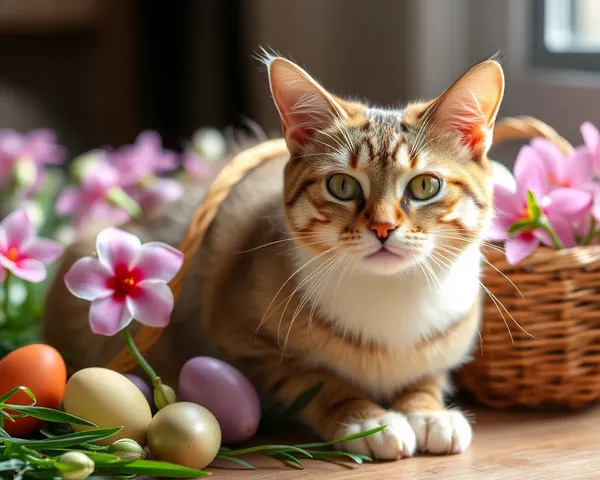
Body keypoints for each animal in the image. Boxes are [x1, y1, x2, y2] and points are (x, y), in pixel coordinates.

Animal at [44, 53, 502, 462]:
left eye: (425, 186)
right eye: (342, 185)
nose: (383, 227)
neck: (390, 295)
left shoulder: (448, 338)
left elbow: (427, 376)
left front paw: (428, 412)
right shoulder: (243, 337)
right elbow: (316, 379)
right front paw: (367, 420)